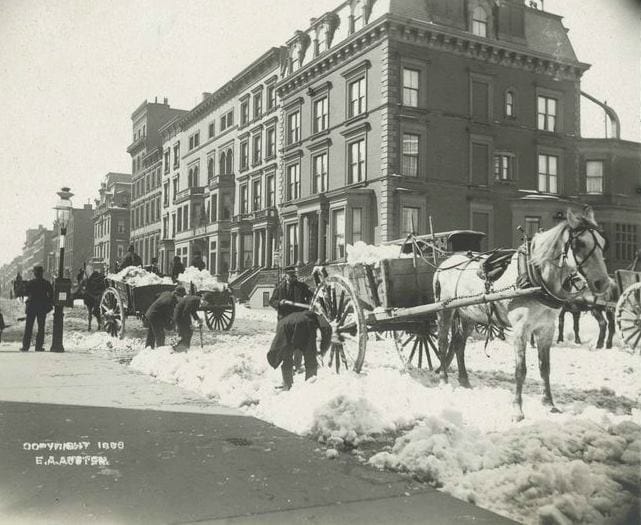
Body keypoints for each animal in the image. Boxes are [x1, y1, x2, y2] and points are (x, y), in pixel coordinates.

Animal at [432, 207, 608, 420]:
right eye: (579, 243)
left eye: (602, 243)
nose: (603, 283)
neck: (536, 279)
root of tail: (445, 263)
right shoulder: (520, 329)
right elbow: (520, 370)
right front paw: (517, 409)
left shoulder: (546, 328)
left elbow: (544, 367)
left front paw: (549, 403)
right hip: (445, 310)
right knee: (442, 341)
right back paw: (443, 378)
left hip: (469, 315)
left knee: (458, 343)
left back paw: (464, 381)